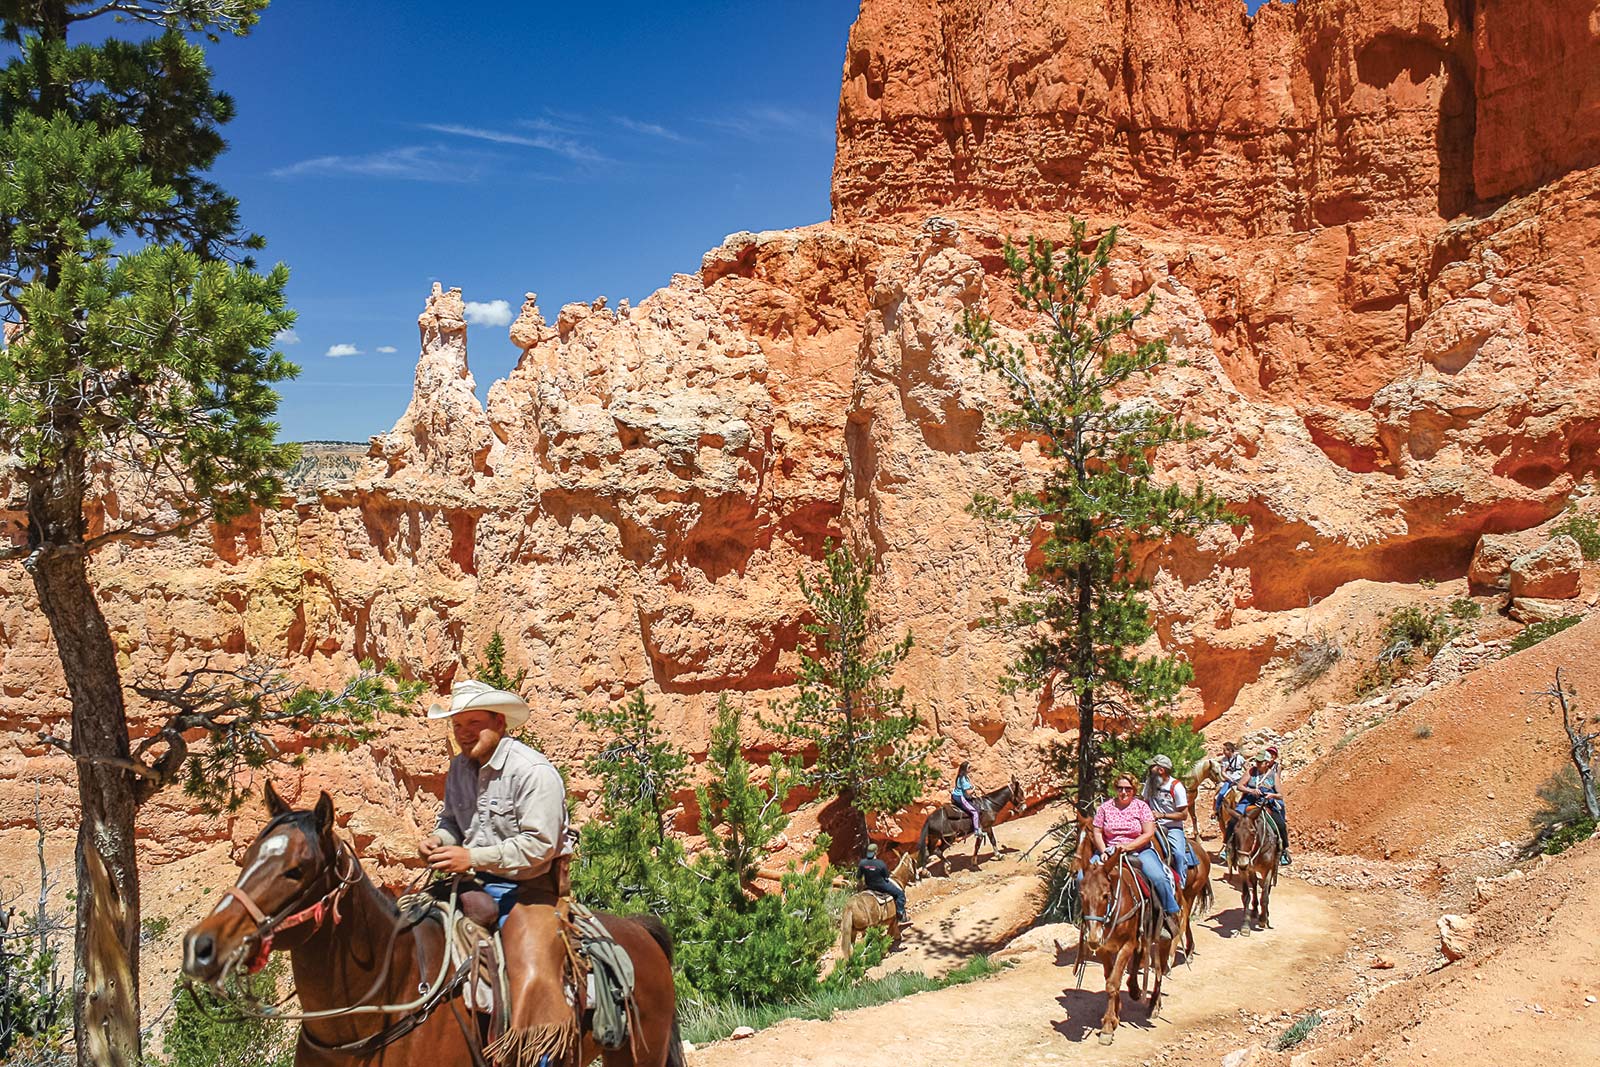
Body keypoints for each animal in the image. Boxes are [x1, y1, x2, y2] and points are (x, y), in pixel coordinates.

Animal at [1228, 799, 1280, 934]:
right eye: (1235, 832)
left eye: (1252, 832)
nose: (1243, 862)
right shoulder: (1243, 870)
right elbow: (1246, 895)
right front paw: (1245, 925)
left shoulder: (1268, 870)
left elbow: (1265, 896)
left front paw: (1263, 920)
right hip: (1251, 869)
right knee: (1255, 884)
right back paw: (1255, 910)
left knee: (1265, 888)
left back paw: (1265, 914)